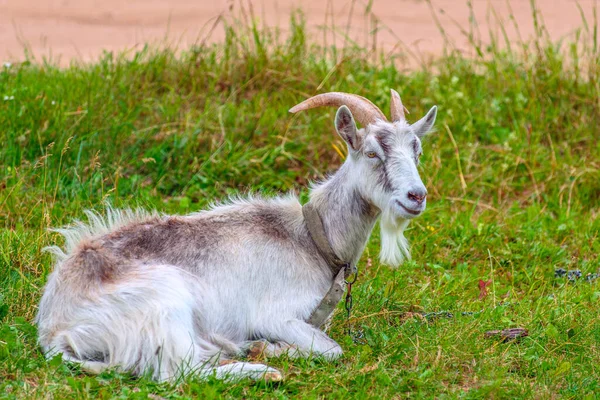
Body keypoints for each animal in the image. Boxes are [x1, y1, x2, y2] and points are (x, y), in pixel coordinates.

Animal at [36, 90, 436, 382]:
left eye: (416, 151)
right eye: (371, 152)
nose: (416, 196)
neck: (312, 237)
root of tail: (55, 328)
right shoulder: (277, 315)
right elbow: (333, 350)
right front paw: (269, 348)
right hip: (166, 301)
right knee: (179, 373)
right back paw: (263, 369)